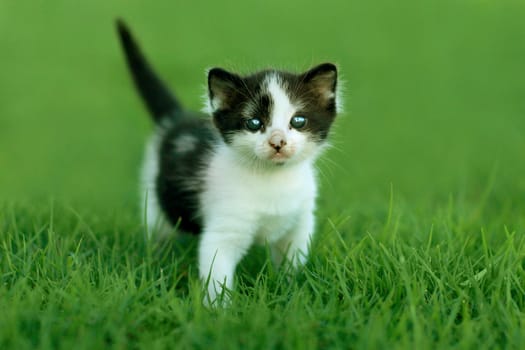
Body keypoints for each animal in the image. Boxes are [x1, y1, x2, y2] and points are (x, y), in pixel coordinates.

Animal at [115, 20, 340, 304]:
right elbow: (217, 273)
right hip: (155, 200)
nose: (278, 142)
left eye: (298, 121)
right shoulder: (223, 230)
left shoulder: (299, 223)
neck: (272, 180)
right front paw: (219, 310)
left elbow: (293, 263)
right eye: (254, 123)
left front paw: (292, 292)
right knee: (158, 230)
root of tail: (177, 119)